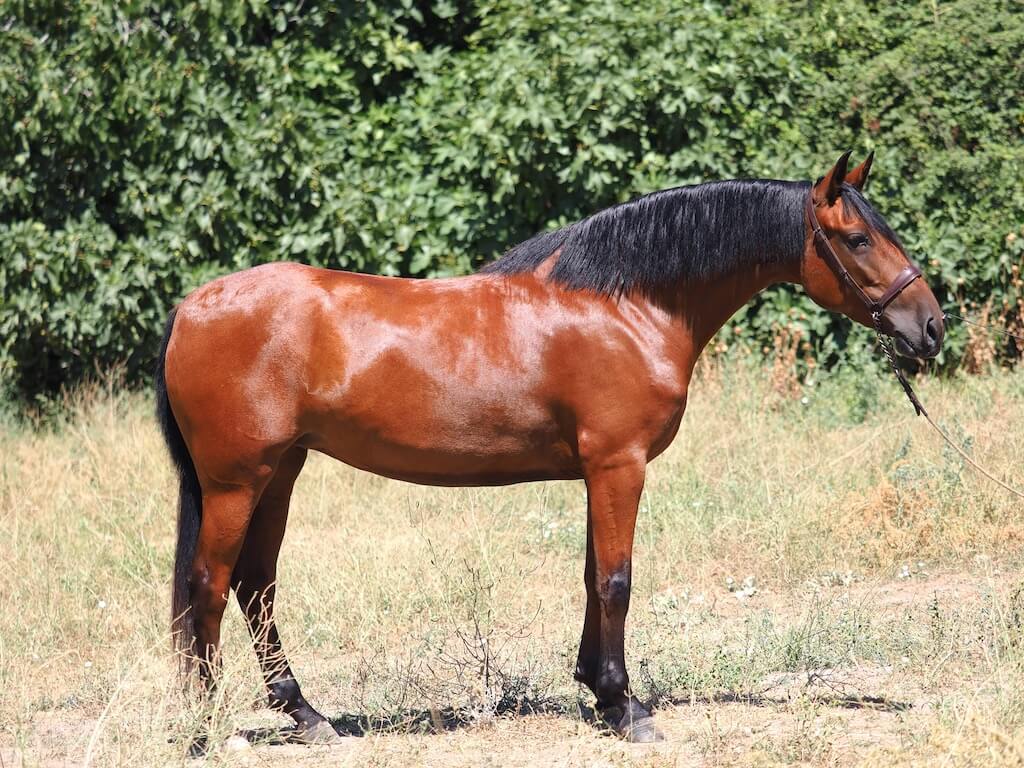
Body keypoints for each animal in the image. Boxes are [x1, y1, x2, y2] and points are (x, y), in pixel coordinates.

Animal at [155, 152, 944, 748]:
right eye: (859, 239)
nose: (931, 327)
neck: (624, 305)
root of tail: (193, 306)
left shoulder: (600, 472)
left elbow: (593, 577)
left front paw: (597, 690)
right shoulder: (618, 465)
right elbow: (617, 580)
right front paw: (626, 708)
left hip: (280, 472)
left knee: (256, 586)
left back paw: (308, 716)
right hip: (236, 481)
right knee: (210, 587)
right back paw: (201, 730)